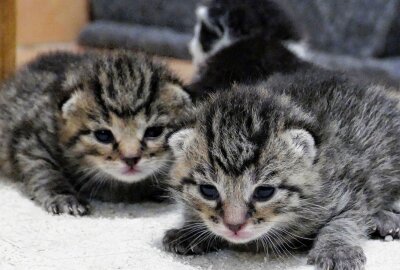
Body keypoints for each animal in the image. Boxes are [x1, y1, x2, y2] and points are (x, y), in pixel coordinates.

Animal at [0, 50, 192, 215]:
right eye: (103, 135)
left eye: (154, 131)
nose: (131, 159)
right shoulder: (31, 139)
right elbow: (44, 169)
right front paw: (64, 197)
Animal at [163, 66, 400, 270]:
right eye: (208, 191)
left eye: (264, 192)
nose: (234, 226)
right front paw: (190, 232)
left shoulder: (351, 191)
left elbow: (345, 220)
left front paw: (336, 249)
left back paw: (386, 219)